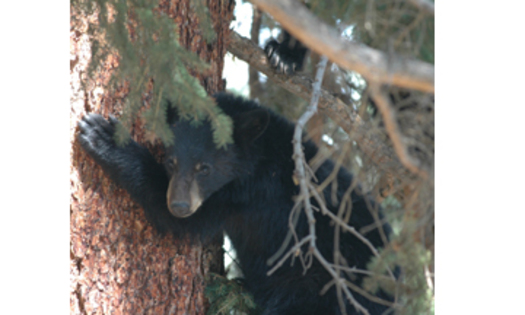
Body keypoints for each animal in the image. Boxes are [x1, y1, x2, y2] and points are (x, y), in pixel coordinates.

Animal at [78, 90, 392, 314]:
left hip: (318, 287)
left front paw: (104, 137)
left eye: (204, 168)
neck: (258, 160)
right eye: (171, 161)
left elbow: (182, 221)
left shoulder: (246, 196)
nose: (179, 206)